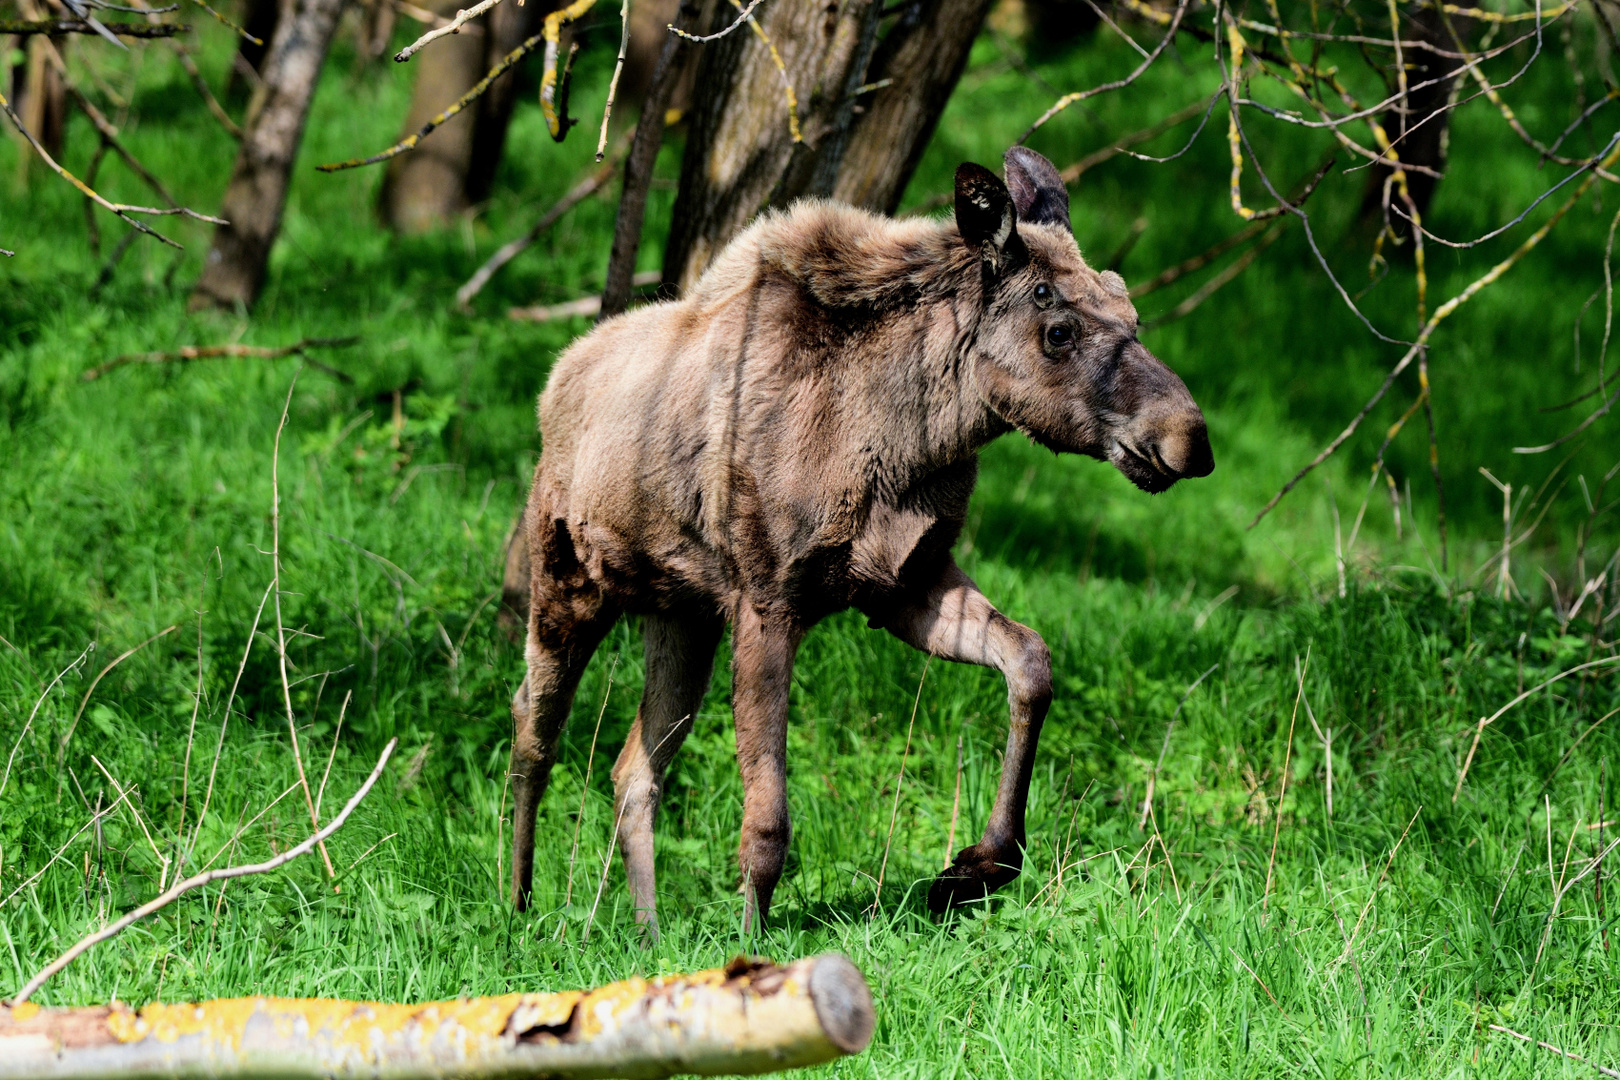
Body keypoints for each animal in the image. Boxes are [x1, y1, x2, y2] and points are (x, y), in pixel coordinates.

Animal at [511, 145, 1211, 939]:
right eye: (1057, 329)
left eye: (1132, 312)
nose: (1190, 438)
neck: (915, 439)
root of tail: (555, 380)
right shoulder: (770, 601)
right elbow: (768, 820)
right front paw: (751, 947)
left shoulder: (906, 582)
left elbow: (1031, 661)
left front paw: (980, 864)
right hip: (567, 585)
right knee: (532, 730)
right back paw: (520, 901)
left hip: (681, 615)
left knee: (634, 769)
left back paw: (649, 931)